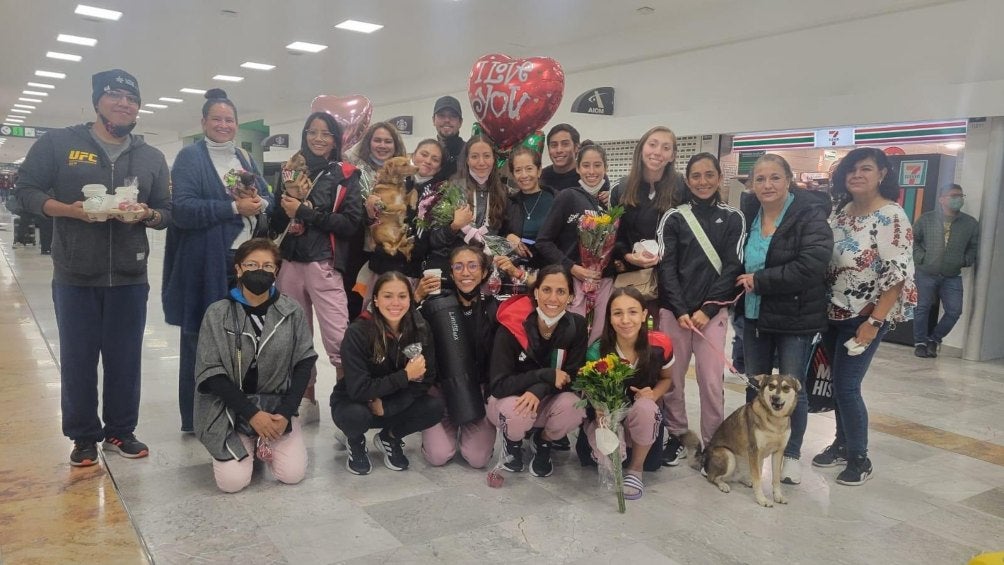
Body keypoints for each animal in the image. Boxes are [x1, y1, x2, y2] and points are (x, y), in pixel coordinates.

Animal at [682, 375, 799, 507]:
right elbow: (758, 479)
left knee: (741, 476)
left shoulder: (778, 452)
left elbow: (775, 479)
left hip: (751, 460)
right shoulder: (754, 450)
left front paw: (778, 496)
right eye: (771, 386)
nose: (775, 397)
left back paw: (746, 481)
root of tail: (704, 457)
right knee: (712, 477)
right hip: (729, 456)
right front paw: (761, 499)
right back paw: (723, 485)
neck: (775, 421)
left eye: (786, 388)